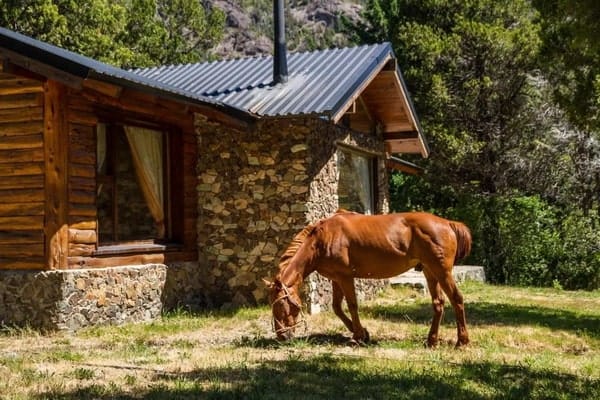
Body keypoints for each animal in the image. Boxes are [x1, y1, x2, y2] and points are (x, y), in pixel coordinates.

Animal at [264, 209, 472, 346]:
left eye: (281, 305)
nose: (281, 336)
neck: (321, 239)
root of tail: (447, 223)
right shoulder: (336, 279)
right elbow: (337, 307)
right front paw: (362, 332)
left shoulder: (345, 277)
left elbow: (352, 305)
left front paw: (358, 336)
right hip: (430, 272)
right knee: (438, 303)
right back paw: (431, 341)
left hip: (442, 272)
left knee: (457, 299)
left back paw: (462, 341)